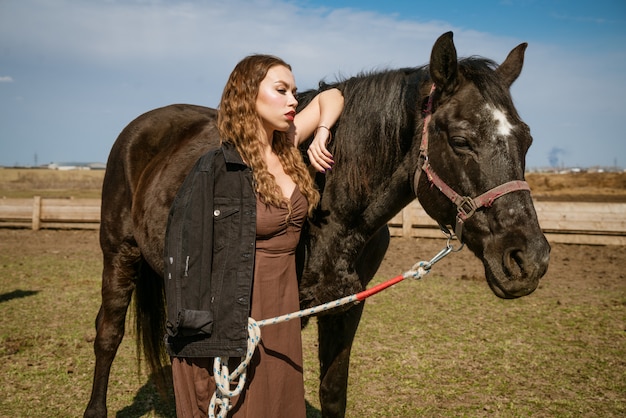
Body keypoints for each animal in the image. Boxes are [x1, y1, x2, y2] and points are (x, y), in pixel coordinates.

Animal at [84, 33, 544, 418]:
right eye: (461, 140)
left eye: (527, 139)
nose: (529, 260)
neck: (334, 212)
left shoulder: (345, 306)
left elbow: (333, 392)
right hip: (119, 253)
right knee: (108, 333)